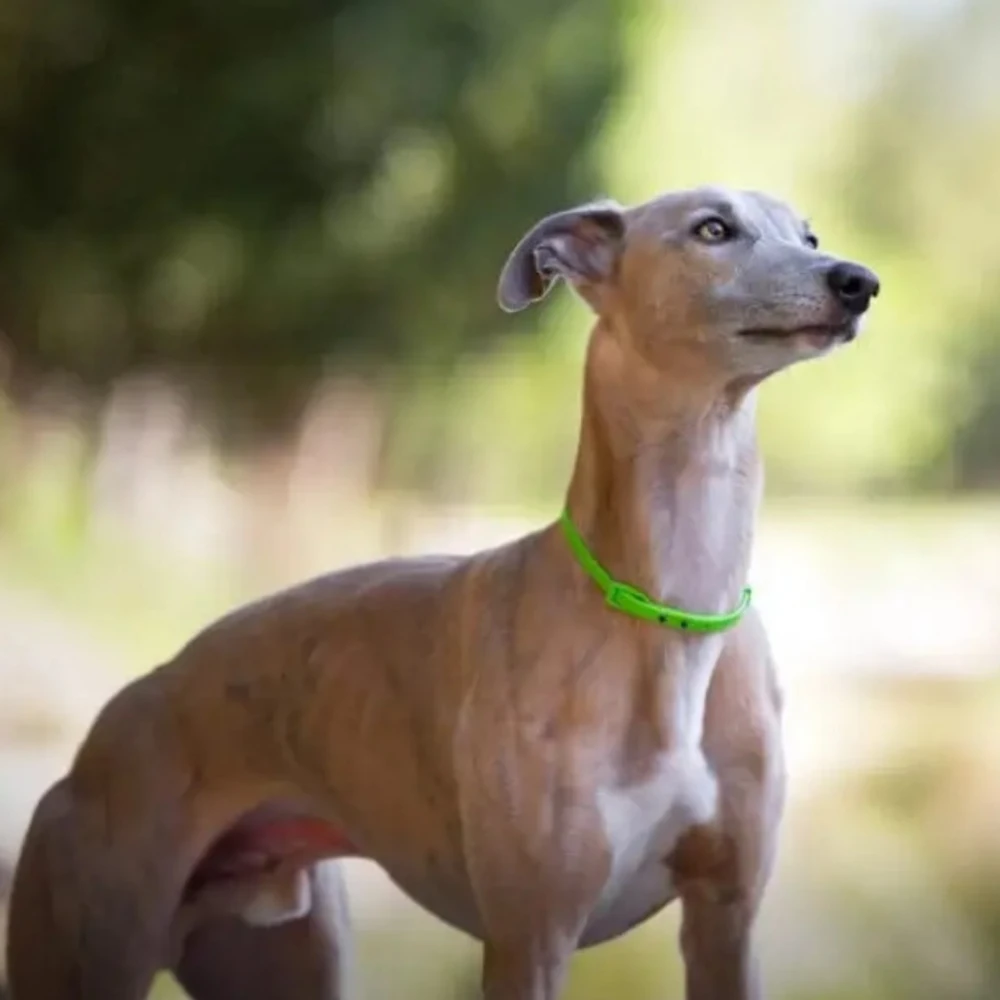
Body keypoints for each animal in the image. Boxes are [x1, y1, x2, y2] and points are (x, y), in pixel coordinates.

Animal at [5, 186, 879, 1000]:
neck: (669, 613)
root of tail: (98, 741)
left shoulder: (726, 922)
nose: (859, 282)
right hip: (91, 939)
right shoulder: (531, 938)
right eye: (712, 228)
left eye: (809, 236)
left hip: (280, 953)